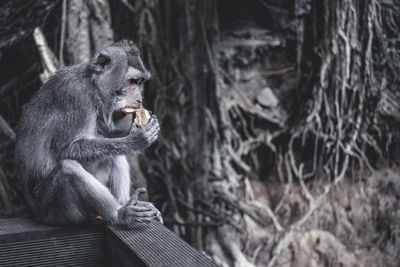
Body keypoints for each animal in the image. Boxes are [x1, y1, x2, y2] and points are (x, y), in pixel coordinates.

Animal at [14, 40, 161, 225]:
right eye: (133, 81)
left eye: (140, 82)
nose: (140, 100)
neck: (91, 83)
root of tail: (34, 211)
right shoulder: (78, 98)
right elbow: (68, 149)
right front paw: (136, 140)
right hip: (55, 210)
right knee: (68, 169)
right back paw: (119, 214)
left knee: (113, 155)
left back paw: (125, 203)